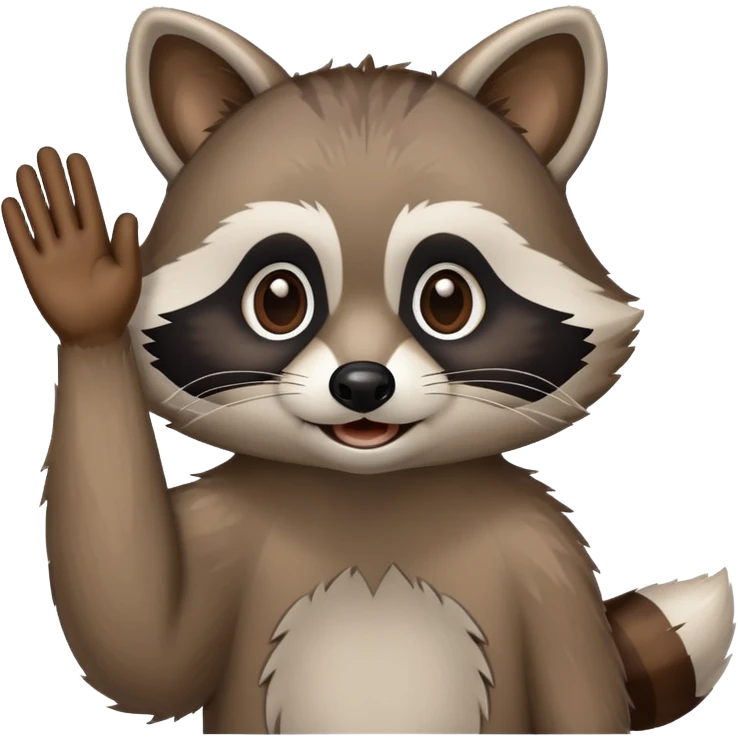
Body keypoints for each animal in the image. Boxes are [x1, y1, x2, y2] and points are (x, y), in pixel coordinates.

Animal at [3, 6, 734, 735]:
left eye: (447, 299)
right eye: (279, 300)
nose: (361, 384)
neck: (372, 493)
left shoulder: (544, 553)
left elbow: (577, 690)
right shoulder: (231, 526)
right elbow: (143, 641)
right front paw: (86, 297)